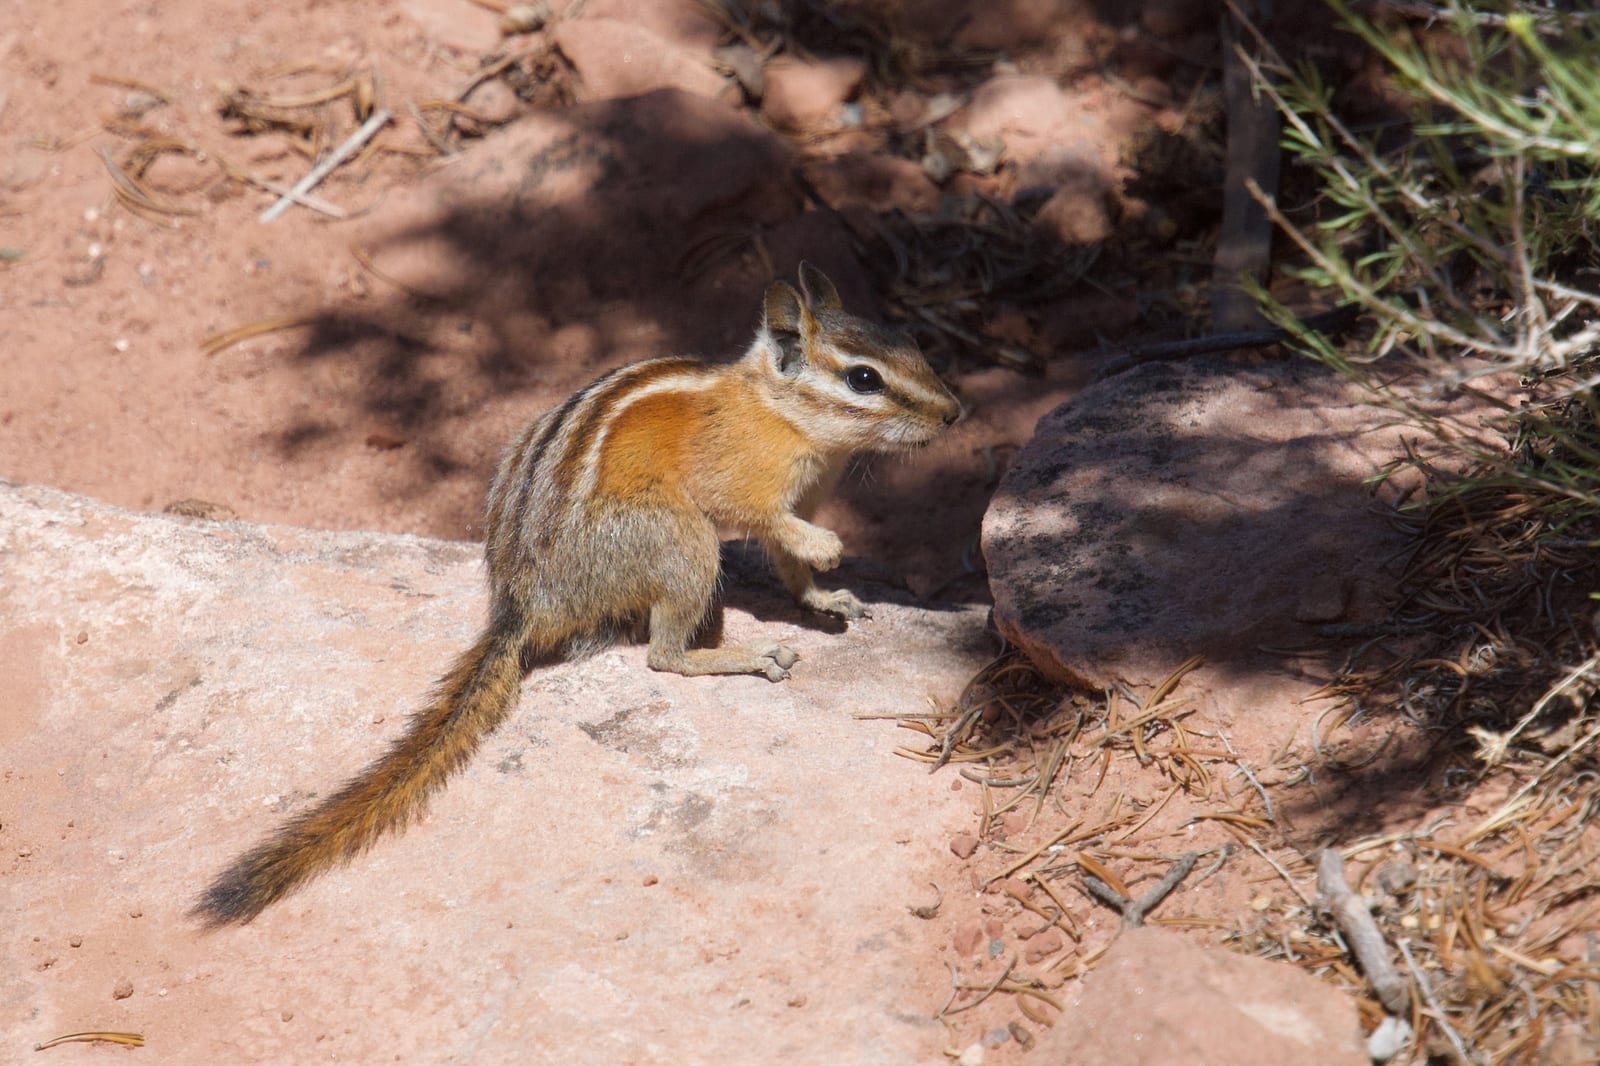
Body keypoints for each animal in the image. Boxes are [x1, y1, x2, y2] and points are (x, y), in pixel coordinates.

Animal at [194, 263, 961, 925]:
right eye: (863, 378)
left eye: (911, 342)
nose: (956, 412)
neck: (779, 412)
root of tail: (523, 603)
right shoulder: (748, 486)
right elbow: (768, 523)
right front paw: (828, 551)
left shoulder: (802, 494)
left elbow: (790, 564)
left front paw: (827, 597)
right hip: (682, 539)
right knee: (663, 654)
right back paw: (741, 657)